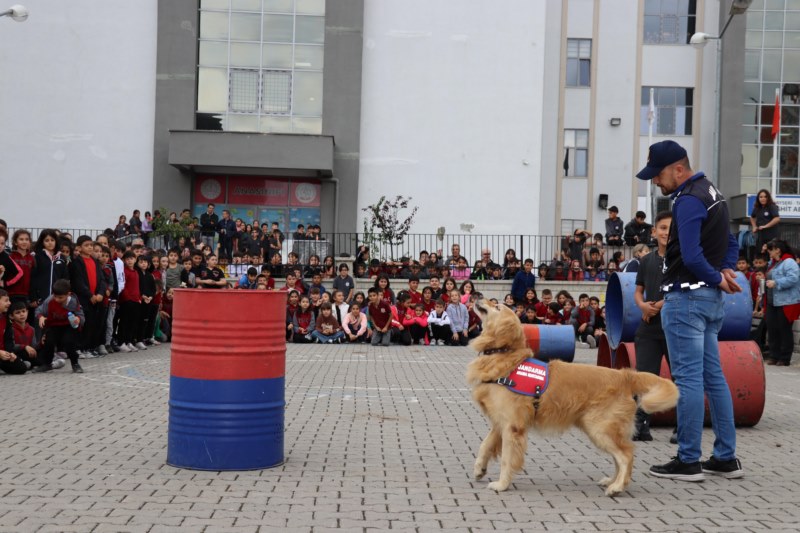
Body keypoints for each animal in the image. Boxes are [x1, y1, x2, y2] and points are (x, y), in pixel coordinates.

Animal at [466, 300, 680, 494]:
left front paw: (502, 484)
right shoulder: (500, 422)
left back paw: (617, 487)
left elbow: (506, 459)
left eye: (497, 306)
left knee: (626, 454)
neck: (505, 357)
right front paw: (479, 469)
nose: (479, 298)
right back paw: (612, 481)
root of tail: (625, 375)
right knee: (619, 456)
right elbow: (485, 445)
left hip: (599, 427)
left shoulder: (513, 426)